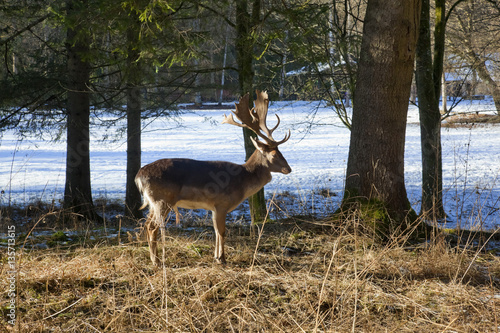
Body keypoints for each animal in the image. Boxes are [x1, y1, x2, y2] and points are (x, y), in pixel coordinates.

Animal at [136, 90, 292, 264]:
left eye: (281, 152)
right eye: (273, 154)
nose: (289, 169)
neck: (242, 181)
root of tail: (138, 176)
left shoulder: (213, 207)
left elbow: (216, 231)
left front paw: (216, 257)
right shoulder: (221, 203)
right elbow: (222, 232)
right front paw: (222, 259)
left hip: (153, 202)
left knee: (147, 225)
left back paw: (154, 259)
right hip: (162, 200)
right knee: (152, 227)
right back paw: (157, 261)